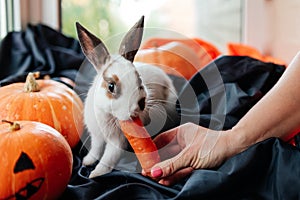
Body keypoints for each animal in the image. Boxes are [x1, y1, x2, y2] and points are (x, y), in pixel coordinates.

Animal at [75, 16, 178, 178]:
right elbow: (96, 149)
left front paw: (96, 173)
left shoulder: (117, 142)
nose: (140, 104)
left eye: (139, 80)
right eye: (111, 86)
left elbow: (108, 157)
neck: (108, 115)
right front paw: (88, 161)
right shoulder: (96, 136)